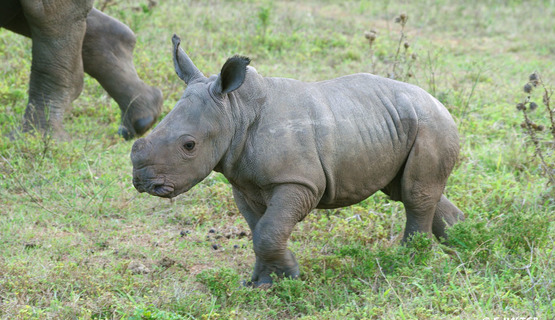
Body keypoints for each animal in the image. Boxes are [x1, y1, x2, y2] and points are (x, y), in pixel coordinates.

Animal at [130, 34, 464, 288]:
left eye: (189, 145)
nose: (142, 181)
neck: (235, 111)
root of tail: (440, 103)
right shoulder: (243, 183)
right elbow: (259, 228)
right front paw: (261, 283)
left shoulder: (299, 182)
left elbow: (268, 230)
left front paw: (287, 277)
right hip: (398, 124)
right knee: (407, 190)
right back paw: (461, 239)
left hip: (430, 123)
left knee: (414, 193)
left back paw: (409, 260)